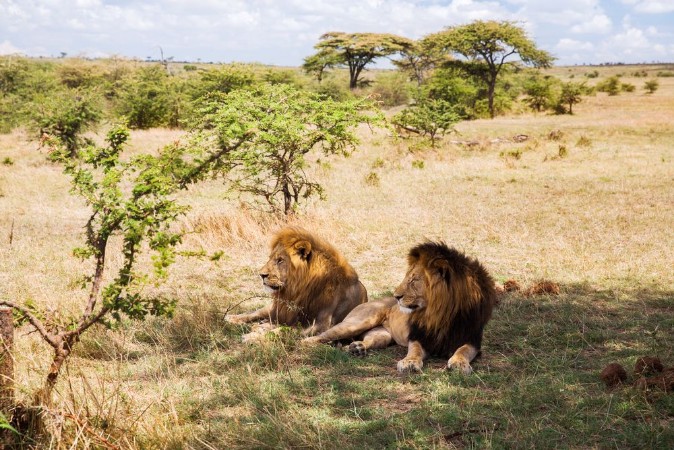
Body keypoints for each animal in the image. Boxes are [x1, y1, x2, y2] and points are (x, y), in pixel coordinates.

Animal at [226, 227, 368, 341]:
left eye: (280, 260)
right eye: (270, 258)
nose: (261, 275)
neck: (299, 289)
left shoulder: (320, 325)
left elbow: (283, 330)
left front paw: (253, 336)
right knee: (257, 312)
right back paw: (232, 317)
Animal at [304, 241, 497, 374]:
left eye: (414, 280)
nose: (396, 296)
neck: (441, 313)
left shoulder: (472, 340)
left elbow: (463, 350)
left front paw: (459, 363)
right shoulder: (418, 336)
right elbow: (415, 350)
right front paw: (409, 363)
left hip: (382, 335)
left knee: (365, 341)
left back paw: (357, 348)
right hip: (358, 322)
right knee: (316, 337)